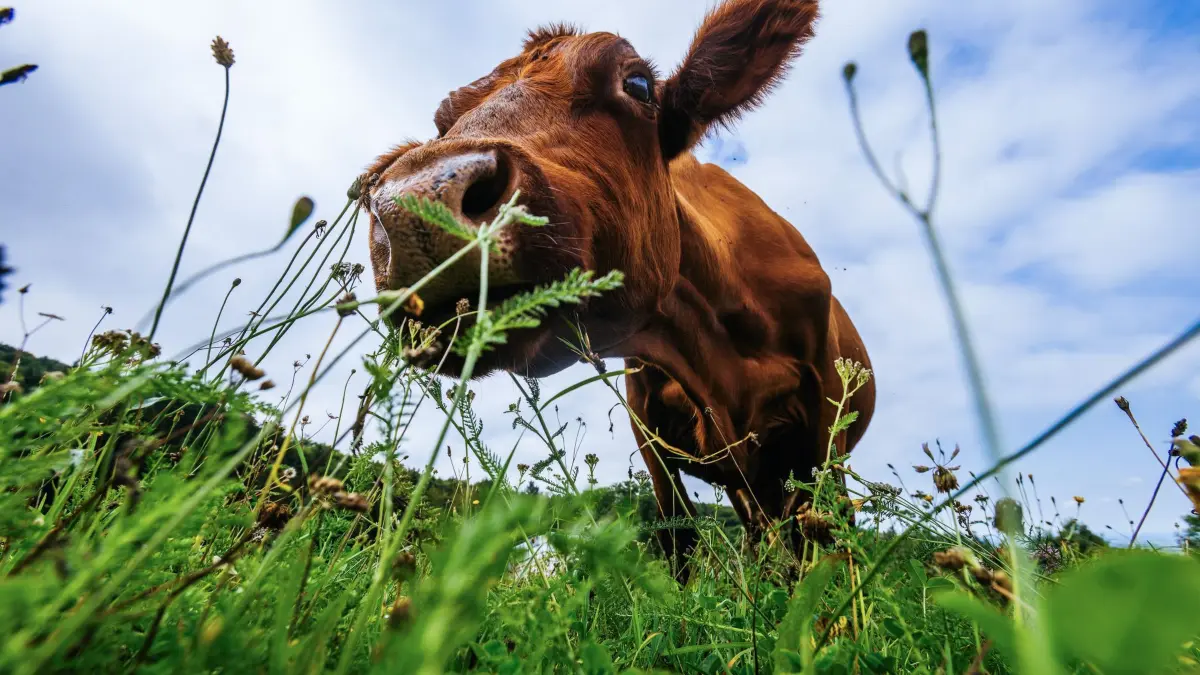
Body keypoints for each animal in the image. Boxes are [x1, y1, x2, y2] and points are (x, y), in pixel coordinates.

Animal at [361, 0, 874, 583]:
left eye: (638, 85)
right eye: (443, 122)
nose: (415, 205)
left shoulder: (823, 417)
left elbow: (829, 543)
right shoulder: (649, 435)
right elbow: (679, 541)